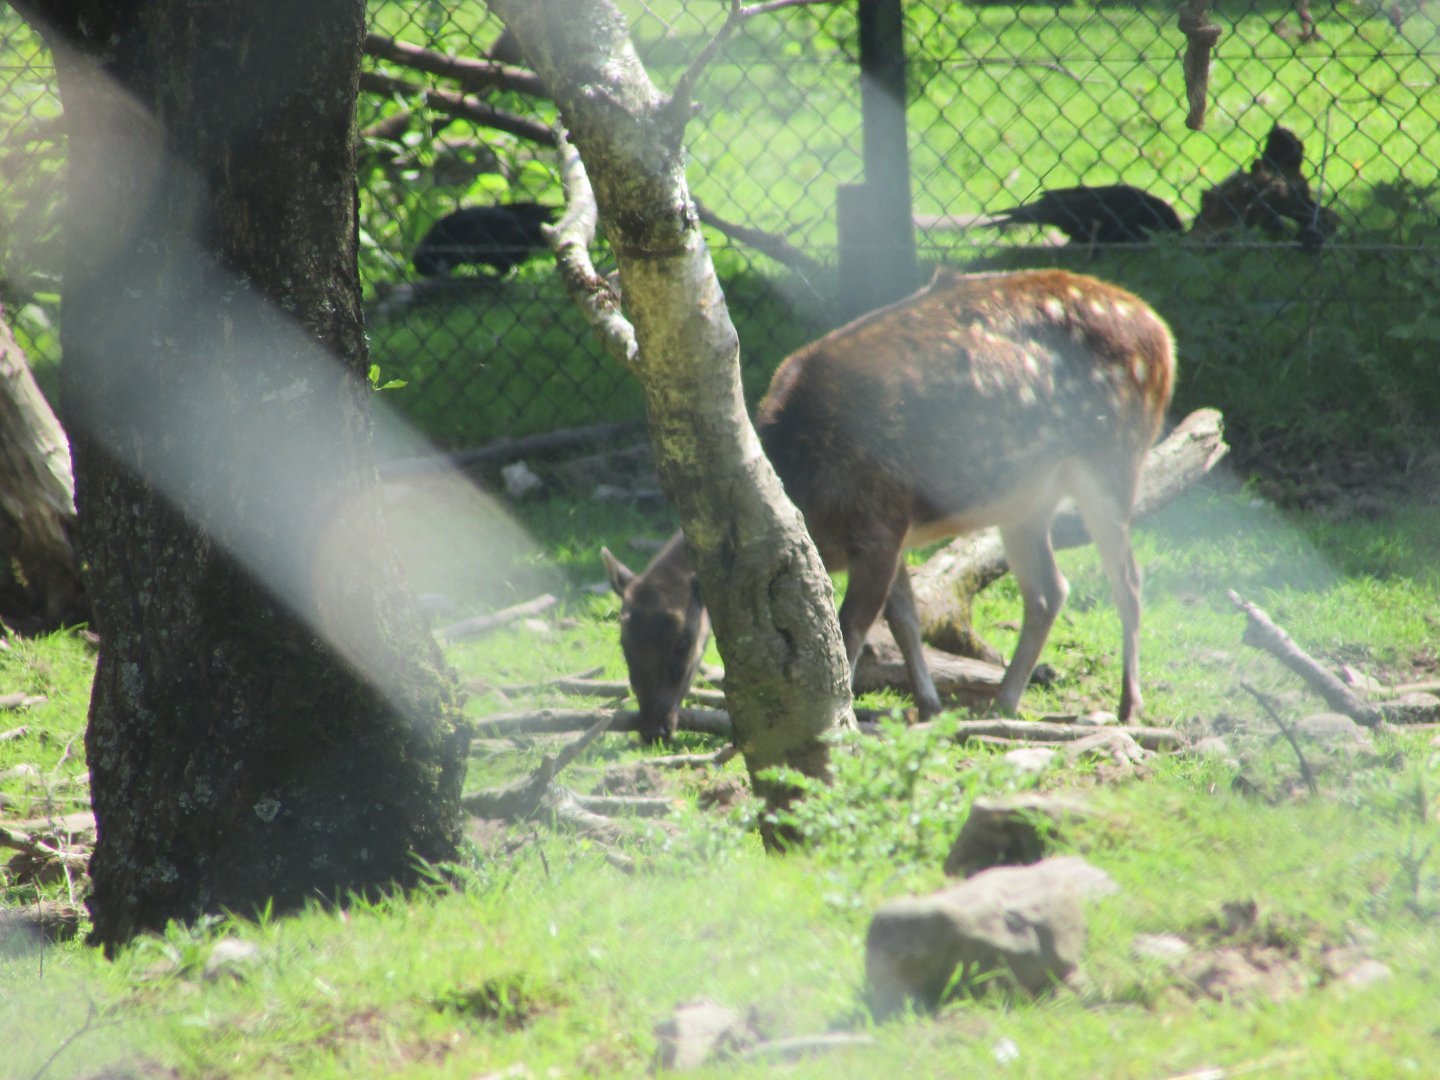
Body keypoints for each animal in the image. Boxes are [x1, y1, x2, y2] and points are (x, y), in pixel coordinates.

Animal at [603, 266, 1176, 743]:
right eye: (624, 641)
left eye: (683, 645)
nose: (653, 727)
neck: (807, 495)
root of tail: (1162, 335)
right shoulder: (893, 528)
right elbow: (905, 617)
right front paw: (928, 705)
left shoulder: (877, 524)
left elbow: (852, 629)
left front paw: (849, 714)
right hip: (1025, 498)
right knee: (1048, 592)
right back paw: (1005, 702)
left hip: (1112, 456)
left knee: (1127, 580)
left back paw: (1128, 707)